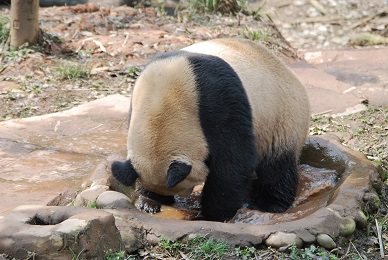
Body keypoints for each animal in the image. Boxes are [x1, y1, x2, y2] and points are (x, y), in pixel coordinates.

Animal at [110, 38, 310, 221]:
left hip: (280, 116)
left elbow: (232, 163)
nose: (186, 194)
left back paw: (269, 204)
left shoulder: (218, 102)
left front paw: (210, 215)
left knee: (277, 166)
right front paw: (149, 201)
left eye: (184, 185)